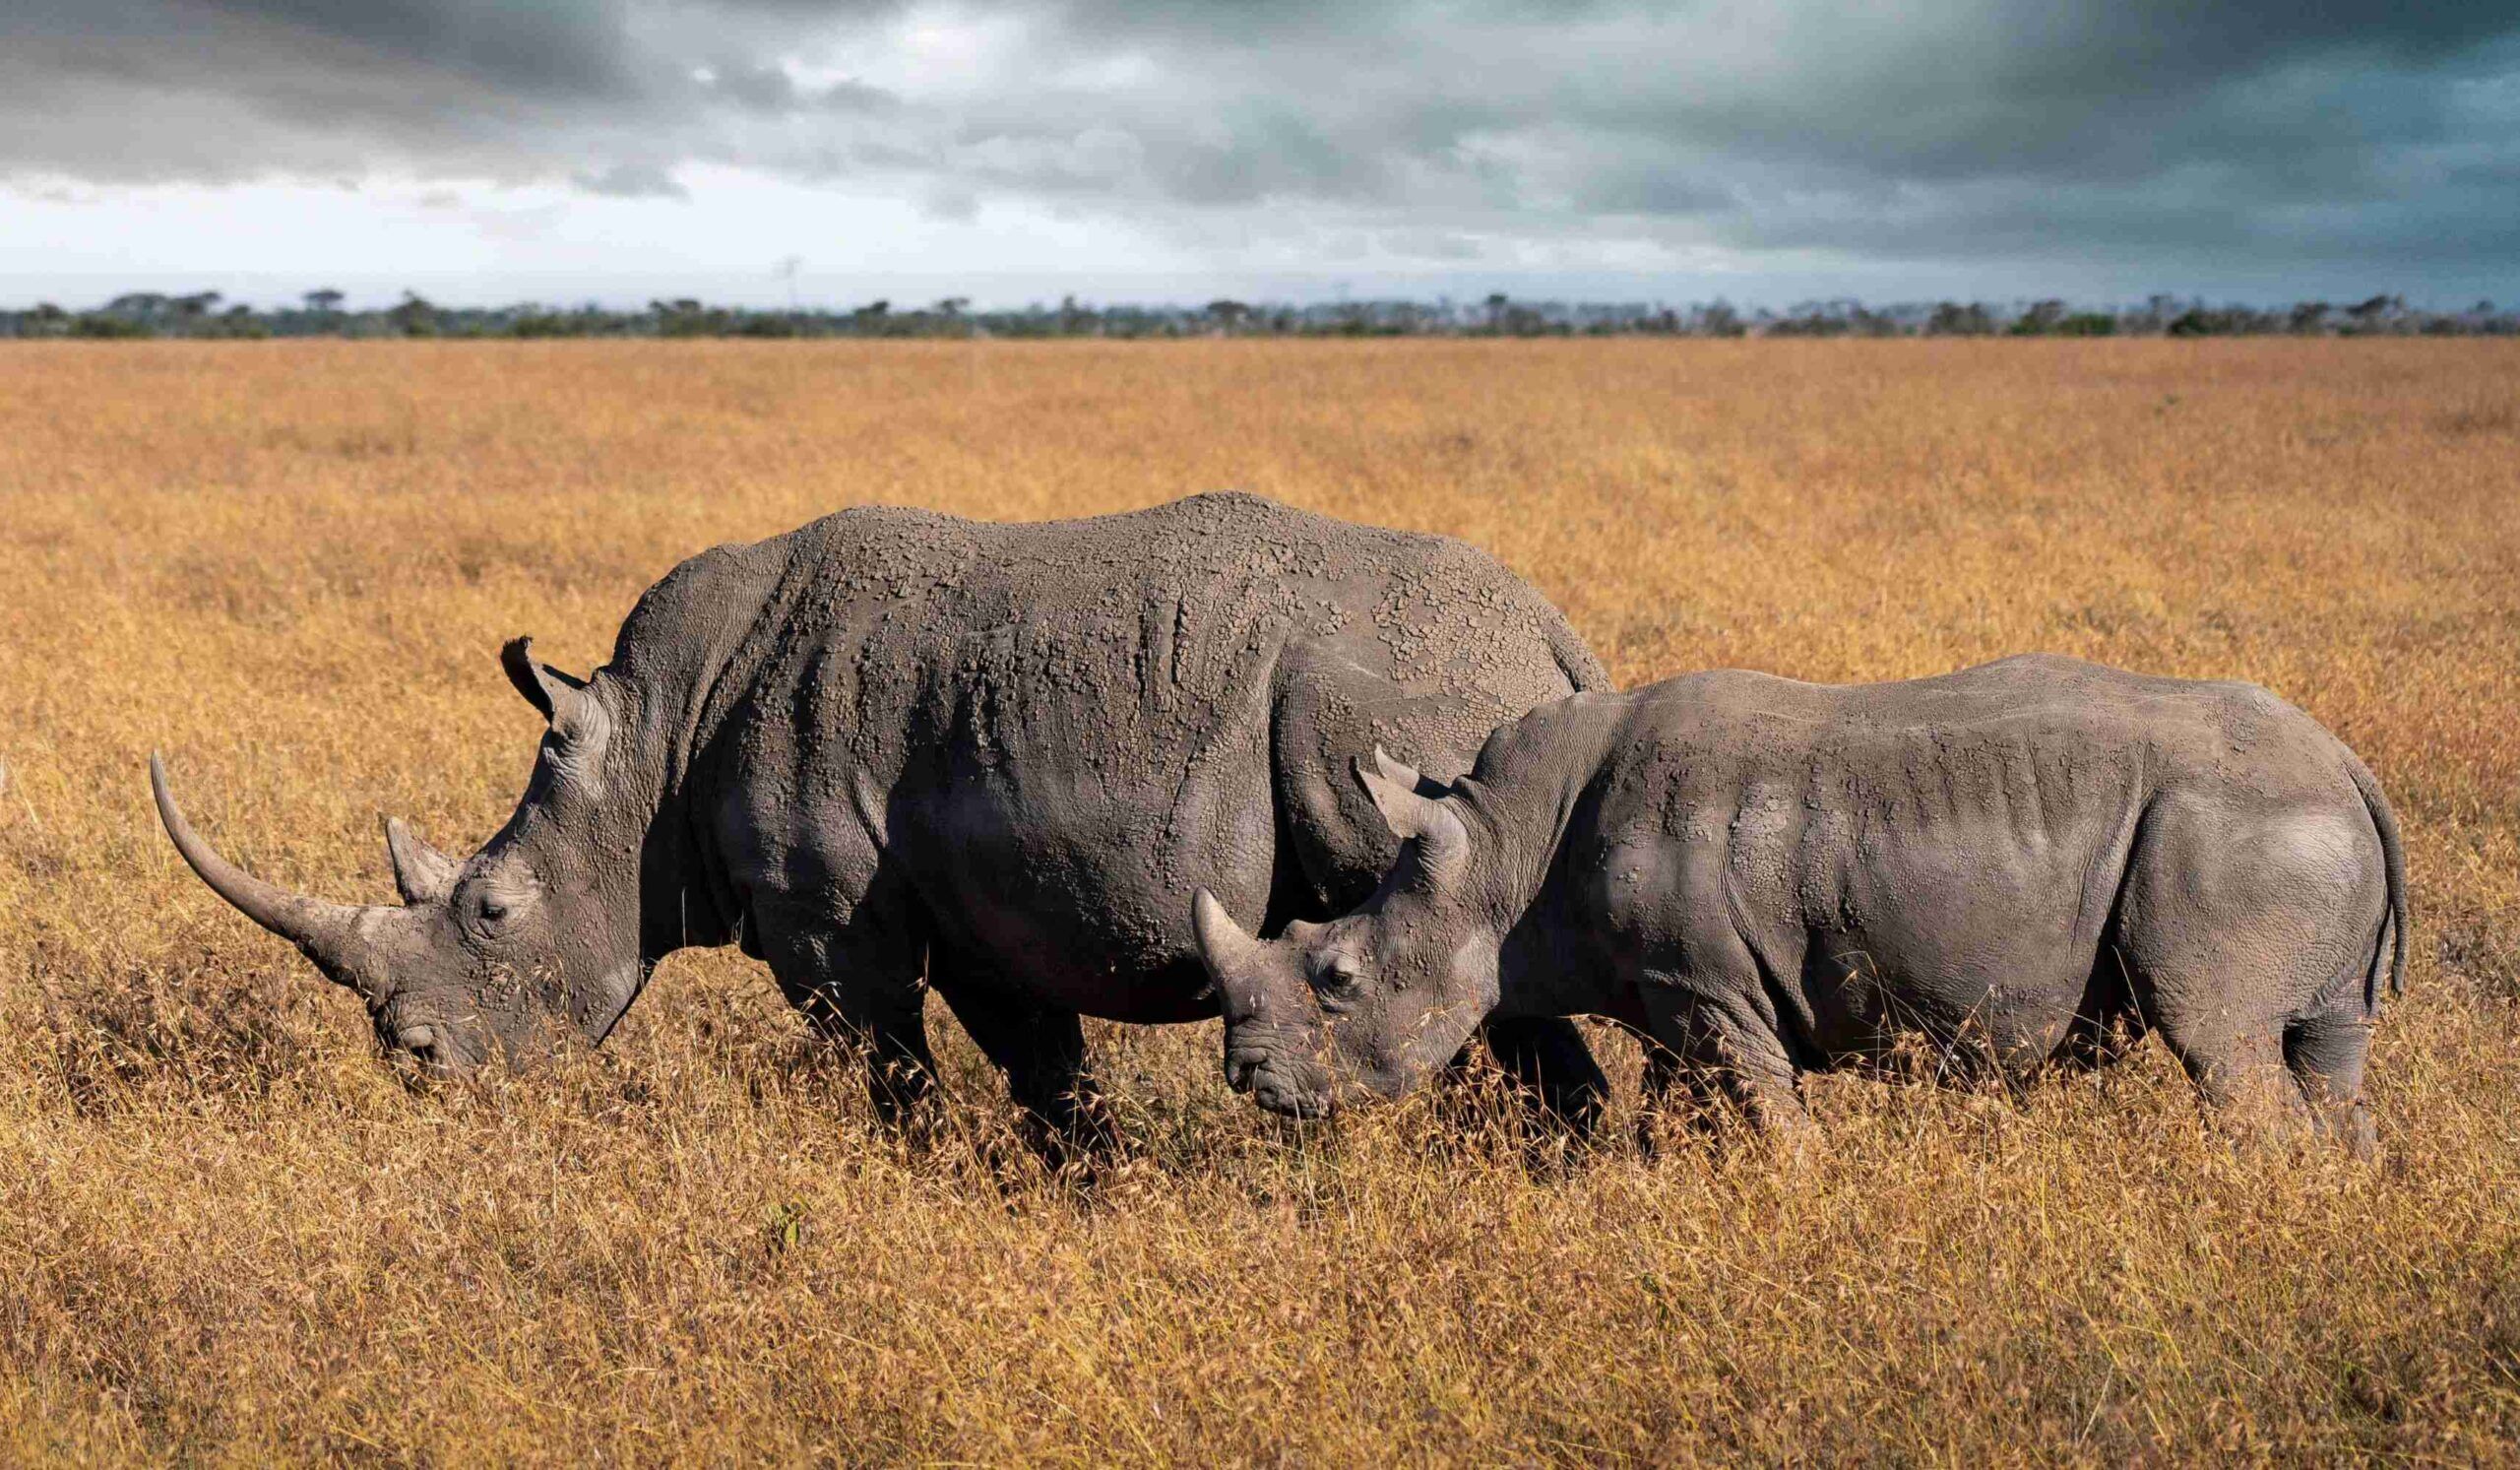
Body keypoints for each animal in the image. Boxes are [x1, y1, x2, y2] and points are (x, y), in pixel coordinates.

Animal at [158, 493, 1612, 1149]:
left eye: (492, 909)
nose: (416, 1066)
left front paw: (920, 1174)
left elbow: (889, 1068)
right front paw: (1086, 1194)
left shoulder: (831, 924)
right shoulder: (989, 911)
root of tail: (1549, 629)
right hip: (1430, 695)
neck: (651, 741)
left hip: (1392, 700)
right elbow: (1046, 1074)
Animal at [1189, 660, 2409, 1154]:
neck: (1499, 855)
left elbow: (1771, 1121)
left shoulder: (1707, 984)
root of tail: (2349, 763)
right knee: (2325, 1048)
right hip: (2286, 830)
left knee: (2221, 1042)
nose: (1248, 1078)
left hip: (2232, 832)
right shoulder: (1674, 988)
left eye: (1338, 979)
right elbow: (1678, 1115)